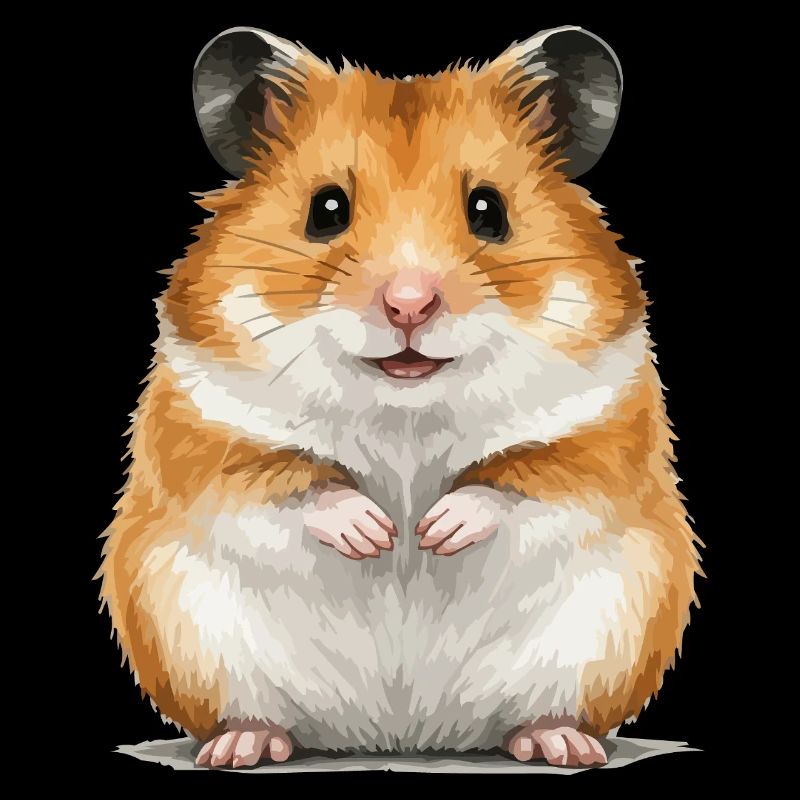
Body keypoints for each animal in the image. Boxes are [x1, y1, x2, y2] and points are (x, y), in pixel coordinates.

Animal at [98, 25, 701, 769]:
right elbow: (286, 480)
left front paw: (432, 531)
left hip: (607, 634)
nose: (408, 305)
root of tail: (402, 735)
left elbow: (524, 480)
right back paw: (240, 747)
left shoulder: (601, 431)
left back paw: (561, 744)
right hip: (191, 637)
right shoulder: (206, 427)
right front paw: (378, 534)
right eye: (326, 209)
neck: (405, 408)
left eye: (489, 210)